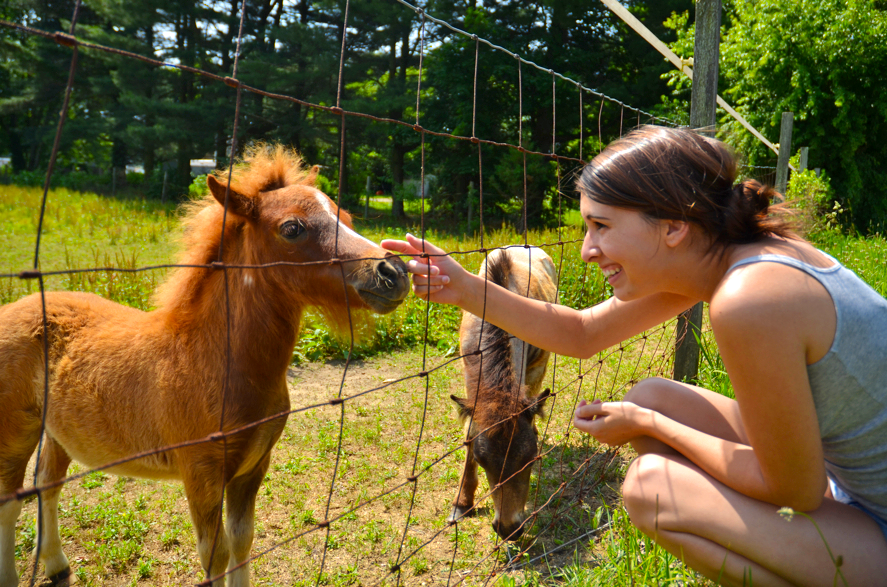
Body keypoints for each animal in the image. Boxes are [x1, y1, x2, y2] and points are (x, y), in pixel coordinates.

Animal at [0, 144, 412, 587]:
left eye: (346, 219)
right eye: (292, 229)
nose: (394, 271)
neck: (216, 361)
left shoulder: (252, 468)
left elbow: (243, 541)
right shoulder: (201, 475)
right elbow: (215, 556)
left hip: (57, 430)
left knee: (48, 483)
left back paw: (56, 563)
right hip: (16, 430)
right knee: (11, 501)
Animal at [450, 247, 556, 544]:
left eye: (531, 458)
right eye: (482, 460)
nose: (509, 529)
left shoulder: (534, 370)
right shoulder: (471, 380)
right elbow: (469, 433)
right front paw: (461, 502)